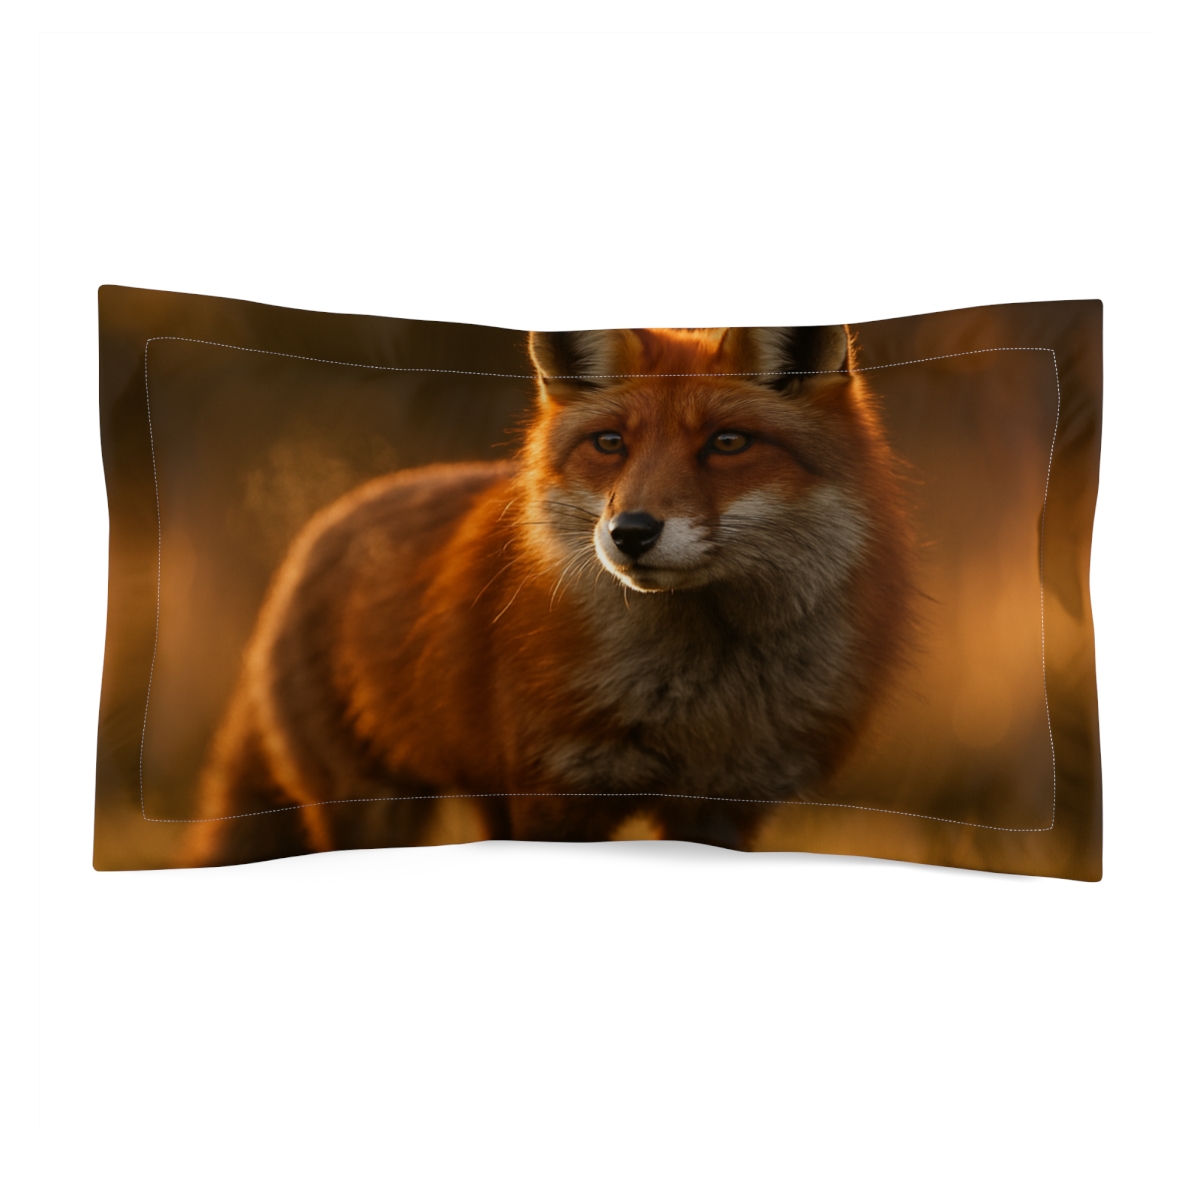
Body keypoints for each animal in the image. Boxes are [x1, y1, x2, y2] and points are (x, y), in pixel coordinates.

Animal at [187, 325, 913, 865]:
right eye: (610, 443)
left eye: (728, 442)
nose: (631, 532)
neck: (698, 698)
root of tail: (326, 523)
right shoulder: (555, 792)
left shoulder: (726, 806)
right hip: (375, 805)